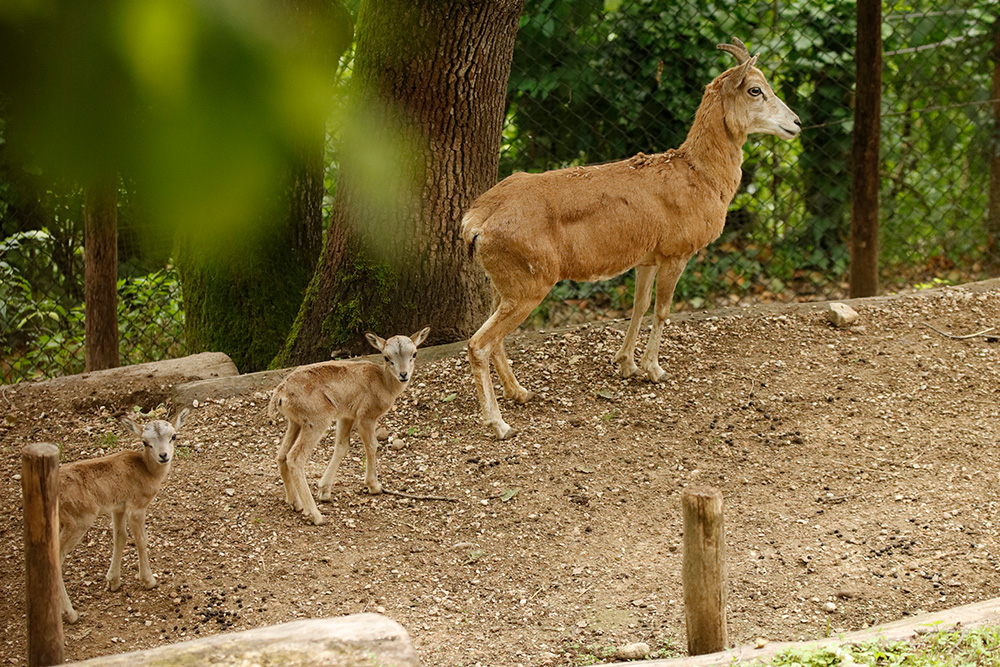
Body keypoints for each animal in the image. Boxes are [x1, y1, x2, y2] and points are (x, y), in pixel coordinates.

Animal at [58, 410, 189, 624]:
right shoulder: (136, 507)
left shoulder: (117, 508)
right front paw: (149, 581)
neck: (146, 470)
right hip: (78, 521)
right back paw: (70, 613)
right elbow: (141, 539)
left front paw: (113, 582)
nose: (163, 456)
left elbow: (120, 537)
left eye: (173, 436)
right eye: (145, 441)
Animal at [270, 328, 430, 528]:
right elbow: (372, 446)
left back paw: (296, 503)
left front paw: (324, 491)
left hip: (295, 422)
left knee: (282, 455)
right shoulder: (366, 416)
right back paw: (316, 515)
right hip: (316, 421)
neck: (383, 383)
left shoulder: (346, 416)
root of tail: (280, 395)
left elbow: (341, 446)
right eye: (386, 357)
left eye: (414, 354)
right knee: (294, 458)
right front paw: (374, 486)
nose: (403, 374)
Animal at [458, 39, 796, 440]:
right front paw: (654, 369)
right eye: (755, 89)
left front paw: (626, 364)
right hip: (528, 284)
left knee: (492, 339)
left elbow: (639, 305)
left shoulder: (647, 258)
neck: (700, 176)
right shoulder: (677, 252)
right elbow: (663, 310)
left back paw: (521, 393)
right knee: (479, 343)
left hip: (504, 284)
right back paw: (498, 423)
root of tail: (475, 223)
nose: (796, 123)